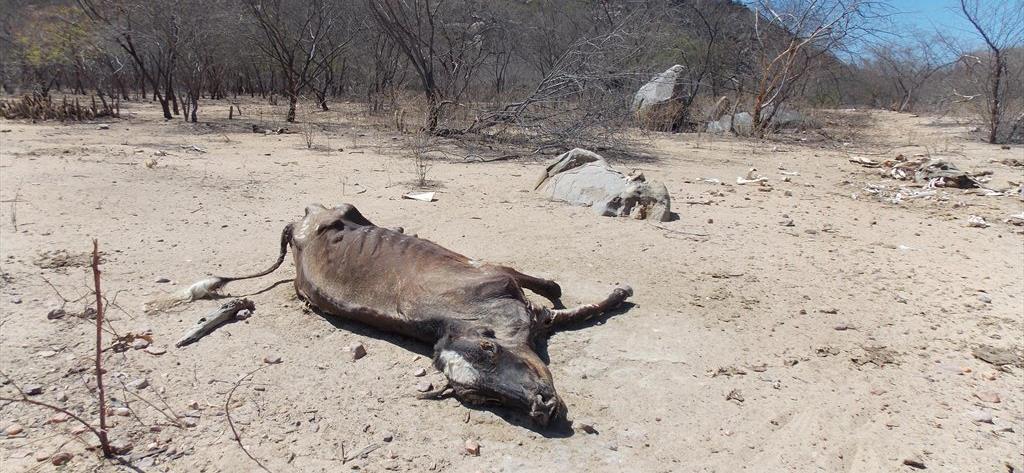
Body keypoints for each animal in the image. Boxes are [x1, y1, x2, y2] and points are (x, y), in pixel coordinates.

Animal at [167, 203, 630, 425]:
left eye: (490, 350)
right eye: (480, 398)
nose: (540, 408)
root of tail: (298, 228)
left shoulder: (500, 278)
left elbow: (559, 297)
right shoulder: (502, 278)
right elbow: (562, 298)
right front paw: (621, 292)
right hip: (340, 208)